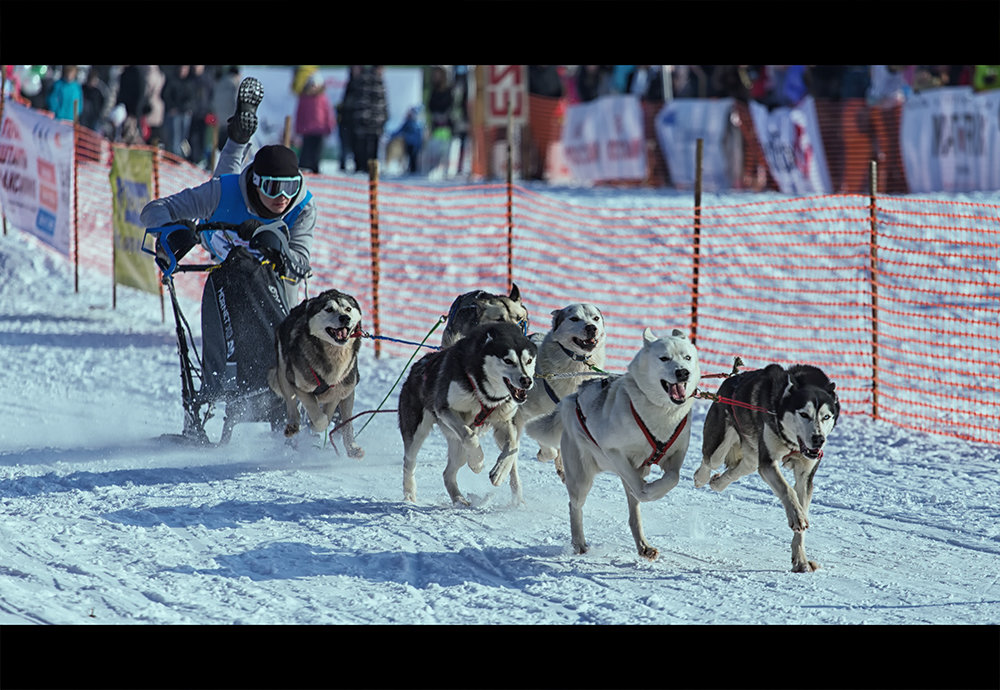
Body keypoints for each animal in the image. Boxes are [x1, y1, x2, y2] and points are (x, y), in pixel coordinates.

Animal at [268, 286, 366, 456]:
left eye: (348, 308)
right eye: (329, 309)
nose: (345, 318)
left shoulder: (343, 391)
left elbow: (341, 419)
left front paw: (352, 448)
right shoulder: (300, 387)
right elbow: (320, 419)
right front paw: (315, 424)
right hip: (284, 374)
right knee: (291, 404)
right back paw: (293, 425)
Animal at [400, 322, 540, 506]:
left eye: (528, 361)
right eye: (508, 361)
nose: (526, 380)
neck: (486, 394)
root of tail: (417, 367)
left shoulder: (505, 422)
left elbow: (513, 446)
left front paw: (499, 472)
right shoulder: (445, 408)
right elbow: (470, 436)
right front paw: (477, 462)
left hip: (458, 446)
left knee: (448, 473)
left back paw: (460, 499)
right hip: (417, 432)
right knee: (409, 462)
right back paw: (409, 495)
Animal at [528, 328, 700, 560]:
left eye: (687, 357)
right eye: (664, 358)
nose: (683, 372)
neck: (661, 412)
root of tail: (571, 399)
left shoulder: (676, 454)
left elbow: (673, 478)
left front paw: (654, 489)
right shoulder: (613, 451)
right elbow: (640, 488)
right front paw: (647, 490)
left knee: (634, 515)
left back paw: (643, 545)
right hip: (581, 478)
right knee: (575, 506)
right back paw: (579, 543)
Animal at [696, 362, 844, 572]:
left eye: (826, 417)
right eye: (804, 414)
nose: (819, 439)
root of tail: (730, 380)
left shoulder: (805, 475)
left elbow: (801, 508)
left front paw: (801, 560)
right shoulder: (768, 463)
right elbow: (787, 489)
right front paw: (796, 516)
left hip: (752, 457)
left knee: (739, 469)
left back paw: (718, 483)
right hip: (722, 443)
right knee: (709, 461)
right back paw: (700, 478)